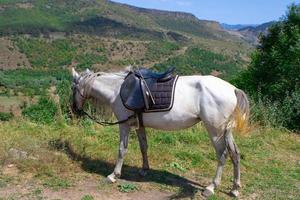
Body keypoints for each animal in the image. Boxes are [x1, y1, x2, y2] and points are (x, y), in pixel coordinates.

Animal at [70, 68, 248, 198]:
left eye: (73, 88)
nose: (74, 110)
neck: (117, 90)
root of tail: (233, 89)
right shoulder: (139, 125)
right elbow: (143, 147)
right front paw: (144, 170)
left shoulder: (124, 125)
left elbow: (122, 150)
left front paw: (114, 175)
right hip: (226, 131)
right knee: (235, 154)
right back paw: (235, 189)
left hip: (215, 131)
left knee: (222, 155)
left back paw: (211, 187)